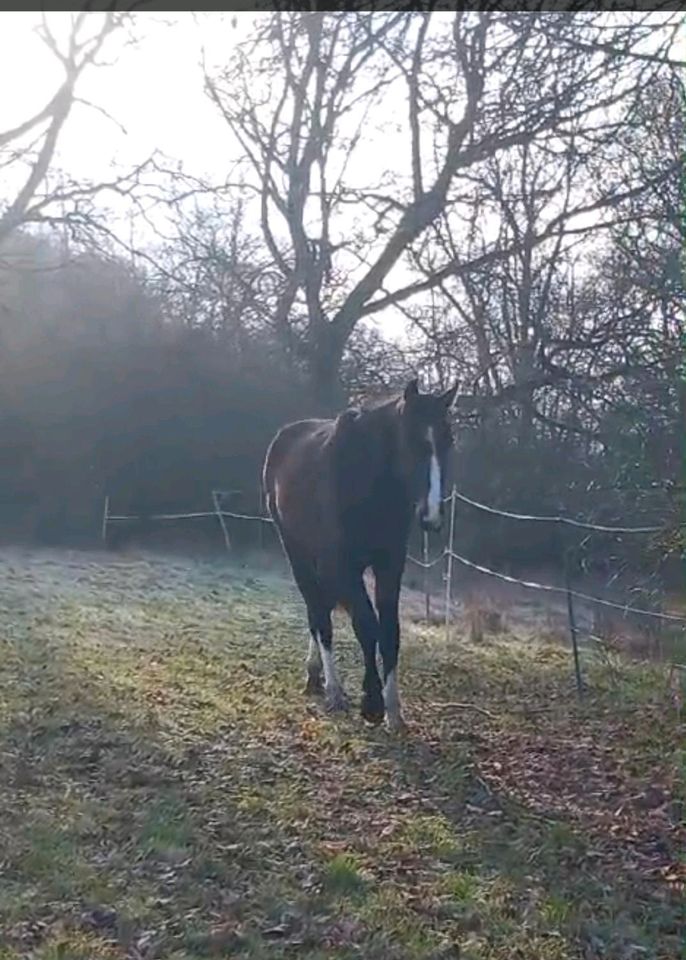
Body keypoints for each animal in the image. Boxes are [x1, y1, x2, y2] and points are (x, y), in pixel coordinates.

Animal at [264, 378, 456, 732]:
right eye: (411, 440)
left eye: (449, 441)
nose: (432, 516)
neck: (368, 485)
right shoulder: (344, 567)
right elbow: (366, 626)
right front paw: (372, 703)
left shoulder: (389, 565)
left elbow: (390, 631)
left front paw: (394, 710)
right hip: (297, 553)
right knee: (318, 614)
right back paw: (332, 689)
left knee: (320, 609)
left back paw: (317, 675)